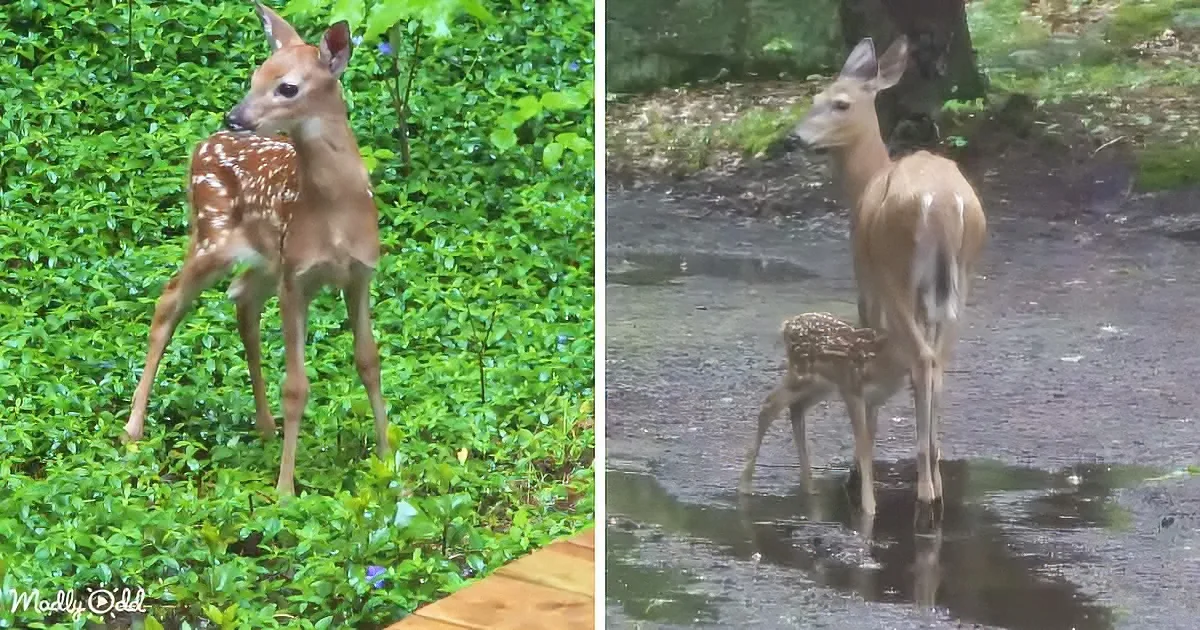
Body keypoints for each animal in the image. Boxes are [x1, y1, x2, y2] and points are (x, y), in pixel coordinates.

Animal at [122, 2, 390, 496]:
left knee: (242, 299)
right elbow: (297, 387)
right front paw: (284, 490)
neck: (335, 213)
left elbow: (369, 362)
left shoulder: (360, 273)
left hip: (264, 258)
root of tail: (202, 144)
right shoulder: (297, 277)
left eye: (288, 87)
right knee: (169, 301)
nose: (234, 117)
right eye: (254, 75)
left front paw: (388, 463)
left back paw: (265, 427)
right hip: (212, 236)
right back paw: (132, 429)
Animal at [739, 312, 906, 515]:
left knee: (795, 408)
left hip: (820, 385)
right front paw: (868, 509)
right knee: (771, 404)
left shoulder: (874, 401)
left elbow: (868, 441)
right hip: (803, 375)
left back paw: (809, 487)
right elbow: (863, 443)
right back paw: (745, 485)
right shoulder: (852, 390)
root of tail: (787, 325)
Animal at [786, 36, 988, 512]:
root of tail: (944, 203)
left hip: (896, 271)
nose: (792, 139)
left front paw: (858, 468)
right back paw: (934, 469)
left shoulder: (866, 283)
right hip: (962, 279)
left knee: (922, 359)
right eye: (813, 98)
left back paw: (925, 491)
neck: (866, 180)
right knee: (939, 361)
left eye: (840, 103)